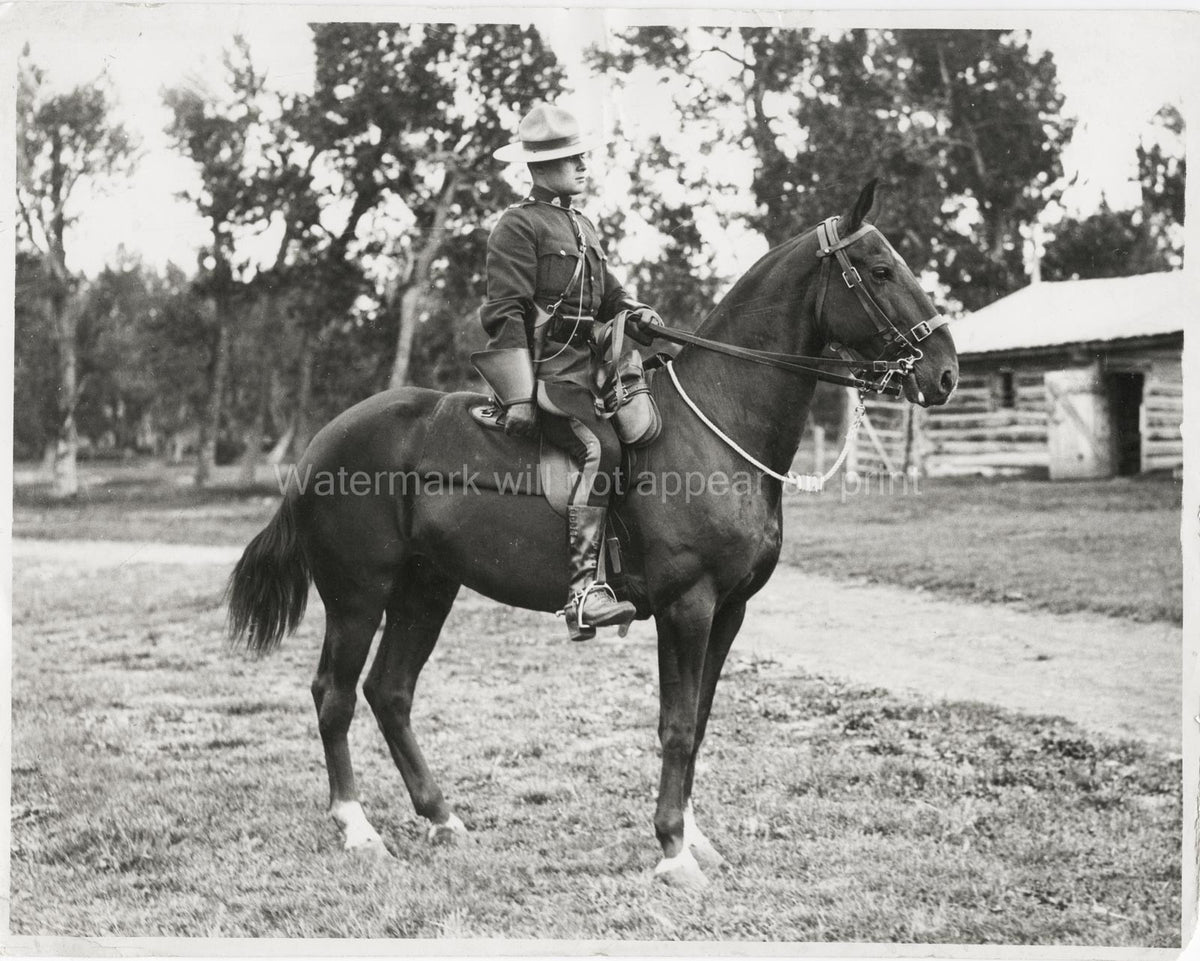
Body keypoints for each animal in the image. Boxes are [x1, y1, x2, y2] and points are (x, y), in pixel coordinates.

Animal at [226, 180, 958, 890]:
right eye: (880, 269)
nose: (945, 371)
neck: (716, 425)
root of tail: (322, 443)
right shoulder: (688, 607)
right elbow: (677, 725)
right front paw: (673, 849)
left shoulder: (729, 610)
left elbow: (699, 722)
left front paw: (694, 837)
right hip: (358, 595)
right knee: (335, 694)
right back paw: (358, 828)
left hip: (426, 589)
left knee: (390, 691)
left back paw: (442, 817)